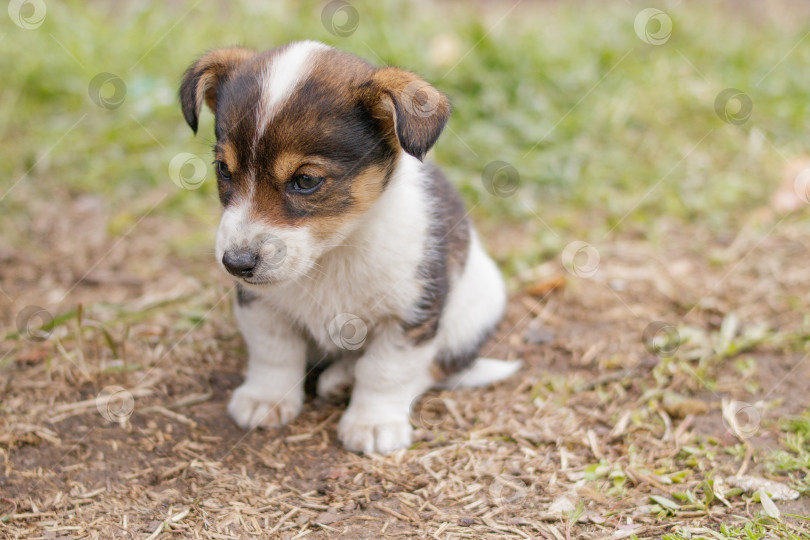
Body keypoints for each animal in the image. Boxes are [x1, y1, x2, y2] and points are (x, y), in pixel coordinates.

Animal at [178, 41, 516, 452]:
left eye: (306, 180)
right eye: (224, 170)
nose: (236, 264)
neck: (332, 254)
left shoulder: (412, 314)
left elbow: (386, 371)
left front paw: (373, 423)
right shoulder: (261, 306)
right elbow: (274, 353)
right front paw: (265, 398)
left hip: (472, 315)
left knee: (433, 370)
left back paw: (344, 380)